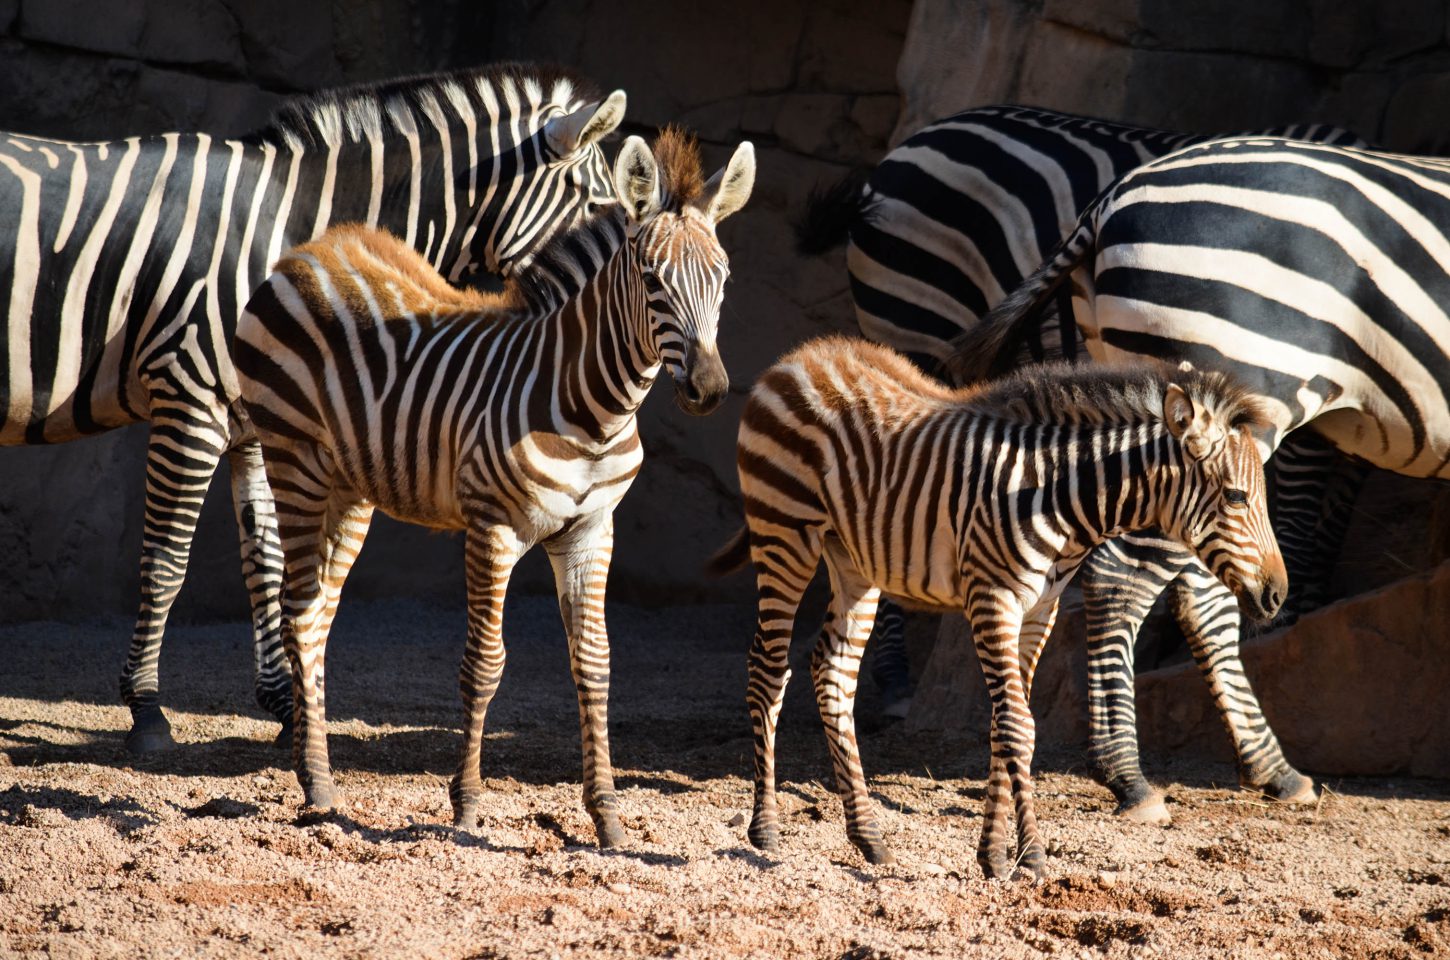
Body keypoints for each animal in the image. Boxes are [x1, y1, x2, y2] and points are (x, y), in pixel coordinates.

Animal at [0, 63, 626, 754]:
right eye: (602, 207)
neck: (287, 234)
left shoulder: (256, 421)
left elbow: (267, 560)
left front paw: (286, 705)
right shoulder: (189, 394)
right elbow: (167, 560)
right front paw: (147, 709)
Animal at [234, 129, 759, 852]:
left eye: (725, 278)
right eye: (653, 279)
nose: (708, 390)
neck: (594, 410)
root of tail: (312, 250)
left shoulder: (592, 530)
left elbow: (595, 662)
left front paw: (607, 816)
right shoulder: (493, 527)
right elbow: (485, 662)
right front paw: (467, 806)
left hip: (350, 486)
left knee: (317, 616)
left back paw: (321, 781)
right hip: (294, 464)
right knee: (297, 611)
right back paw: (314, 787)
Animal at [707, 337, 1287, 881]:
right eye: (1237, 498)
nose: (1278, 596)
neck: (1061, 497)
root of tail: (798, 357)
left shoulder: (1039, 610)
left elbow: (1002, 724)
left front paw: (993, 854)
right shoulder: (993, 598)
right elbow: (1018, 727)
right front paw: (1031, 858)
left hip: (855, 562)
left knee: (833, 673)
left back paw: (868, 838)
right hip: (784, 535)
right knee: (767, 670)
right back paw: (765, 829)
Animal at [945, 135, 1450, 823]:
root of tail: (1109, 199)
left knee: (1202, 588)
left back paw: (1268, 767)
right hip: (1238, 389)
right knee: (1133, 582)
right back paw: (1131, 777)